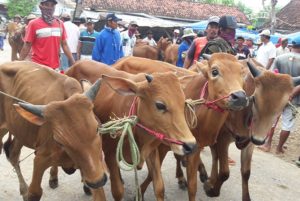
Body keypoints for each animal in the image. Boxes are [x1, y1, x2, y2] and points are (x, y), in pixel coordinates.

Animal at [0, 61, 109, 201]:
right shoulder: (40, 159)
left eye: (97, 128)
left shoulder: (96, 166)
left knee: (13, 153)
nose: (97, 181)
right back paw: (24, 190)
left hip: (20, 130)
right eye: (59, 141)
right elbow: (34, 193)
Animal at [65, 60, 197, 201]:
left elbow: (159, 187)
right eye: (160, 105)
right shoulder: (110, 153)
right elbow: (118, 191)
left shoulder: (151, 151)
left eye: (183, 102)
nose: (190, 146)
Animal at [112, 54, 248, 200]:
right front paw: (140, 191)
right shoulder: (163, 146)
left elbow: (191, 183)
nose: (240, 97)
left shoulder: (194, 147)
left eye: (242, 73)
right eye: (215, 71)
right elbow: (155, 174)